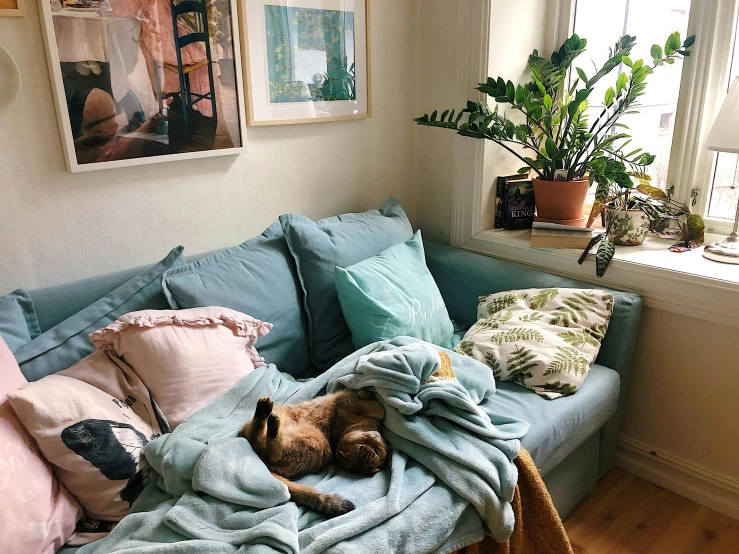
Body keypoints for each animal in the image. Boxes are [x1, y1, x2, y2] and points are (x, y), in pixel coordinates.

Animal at [240, 388, 390, 516]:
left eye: (377, 451)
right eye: (362, 443)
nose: (374, 437)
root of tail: (266, 467)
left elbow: (379, 409)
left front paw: (366, 395)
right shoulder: (346, 403)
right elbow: (379, 408)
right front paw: (366, 394)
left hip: (314, 441)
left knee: (265, 447)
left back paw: (267, 418)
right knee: (257, 440)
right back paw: (264, 413)